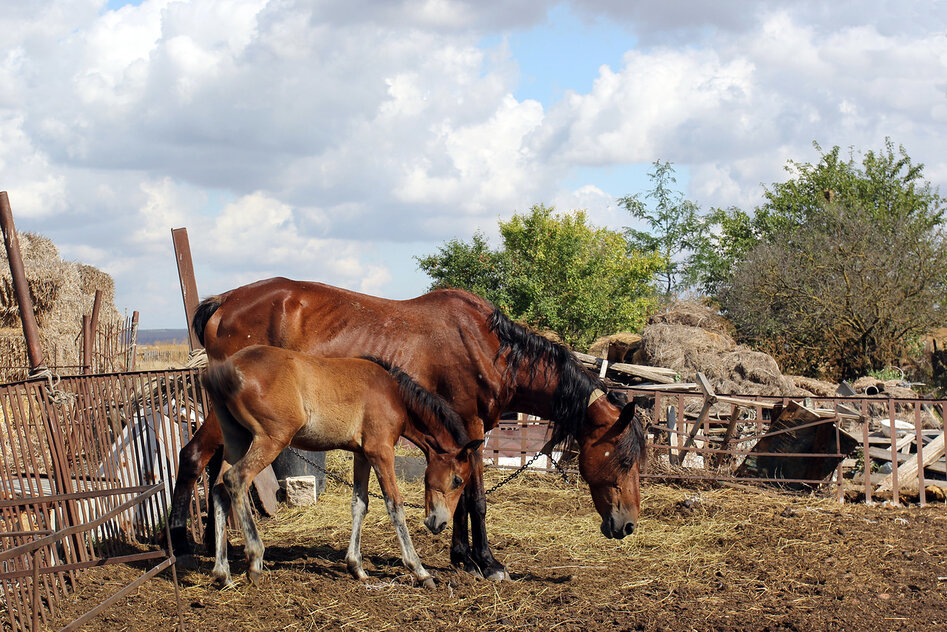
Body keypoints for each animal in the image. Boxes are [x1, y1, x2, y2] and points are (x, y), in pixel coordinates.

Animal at [170, 278, 648, 580]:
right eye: (624, 460)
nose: (628, 525)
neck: (488, 347)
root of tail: (223, 301)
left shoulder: (465, 434)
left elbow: (457, 497)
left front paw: (461, 557)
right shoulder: (469, 425)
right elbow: (474, 499)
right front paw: (488, 563)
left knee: (216, 472)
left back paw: (218, 549)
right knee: (196, 459)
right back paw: (186, 545)